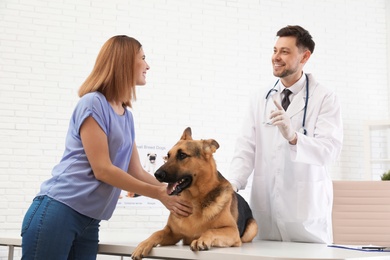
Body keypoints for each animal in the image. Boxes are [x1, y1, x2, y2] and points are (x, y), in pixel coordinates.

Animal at [133, 127, 258, 258]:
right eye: (168, 156)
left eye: (182, 155)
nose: (157, 174)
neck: (194, 200)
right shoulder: (172, 233)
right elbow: (157, 233)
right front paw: (143, 244)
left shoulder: (232, 230)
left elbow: (211, 230)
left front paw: (200, 240)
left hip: (252, 228)